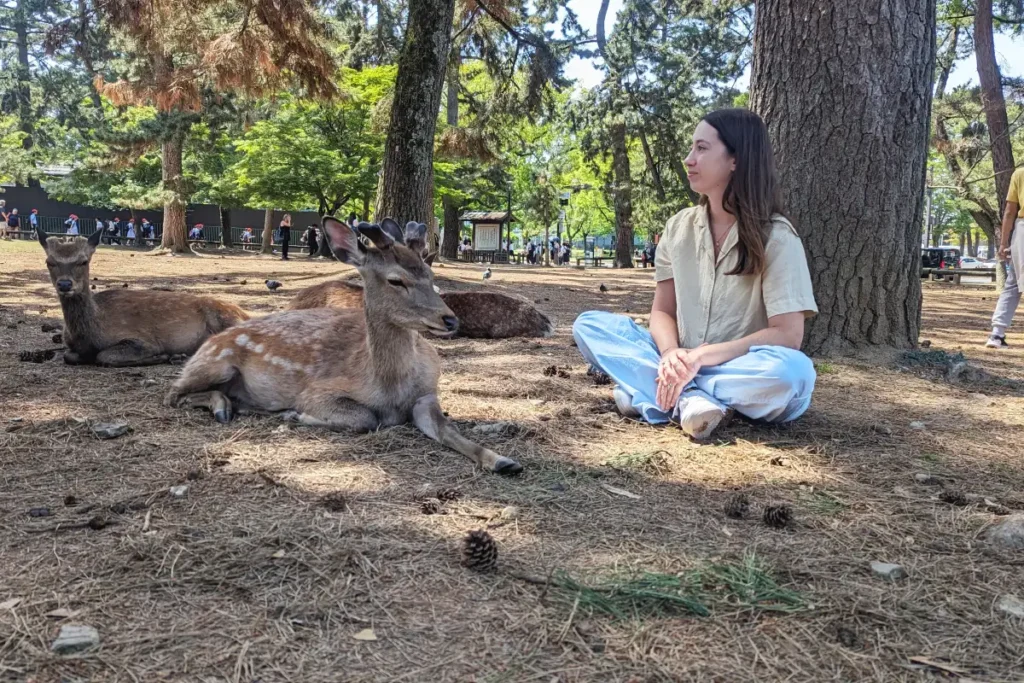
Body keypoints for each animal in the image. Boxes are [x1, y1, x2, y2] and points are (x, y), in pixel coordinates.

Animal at [39, 231, 249, 368]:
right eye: (49, 262)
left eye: (83, 261)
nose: (65, 284)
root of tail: (245, 314)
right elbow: (68, 356)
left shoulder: (143, 340)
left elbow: (104, 356)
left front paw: (162, 356)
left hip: (227, 319)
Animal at [166, 219, 524, 475]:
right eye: (396, 280)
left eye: (430, 274)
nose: (450, 320)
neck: (390, 386)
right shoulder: (318, 392)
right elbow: (365, 418)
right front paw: (297, 415)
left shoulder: (426, 394)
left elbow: (448, 430)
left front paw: (503, 460)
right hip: (215, 362)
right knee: (173, 394)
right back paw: (224, 407)